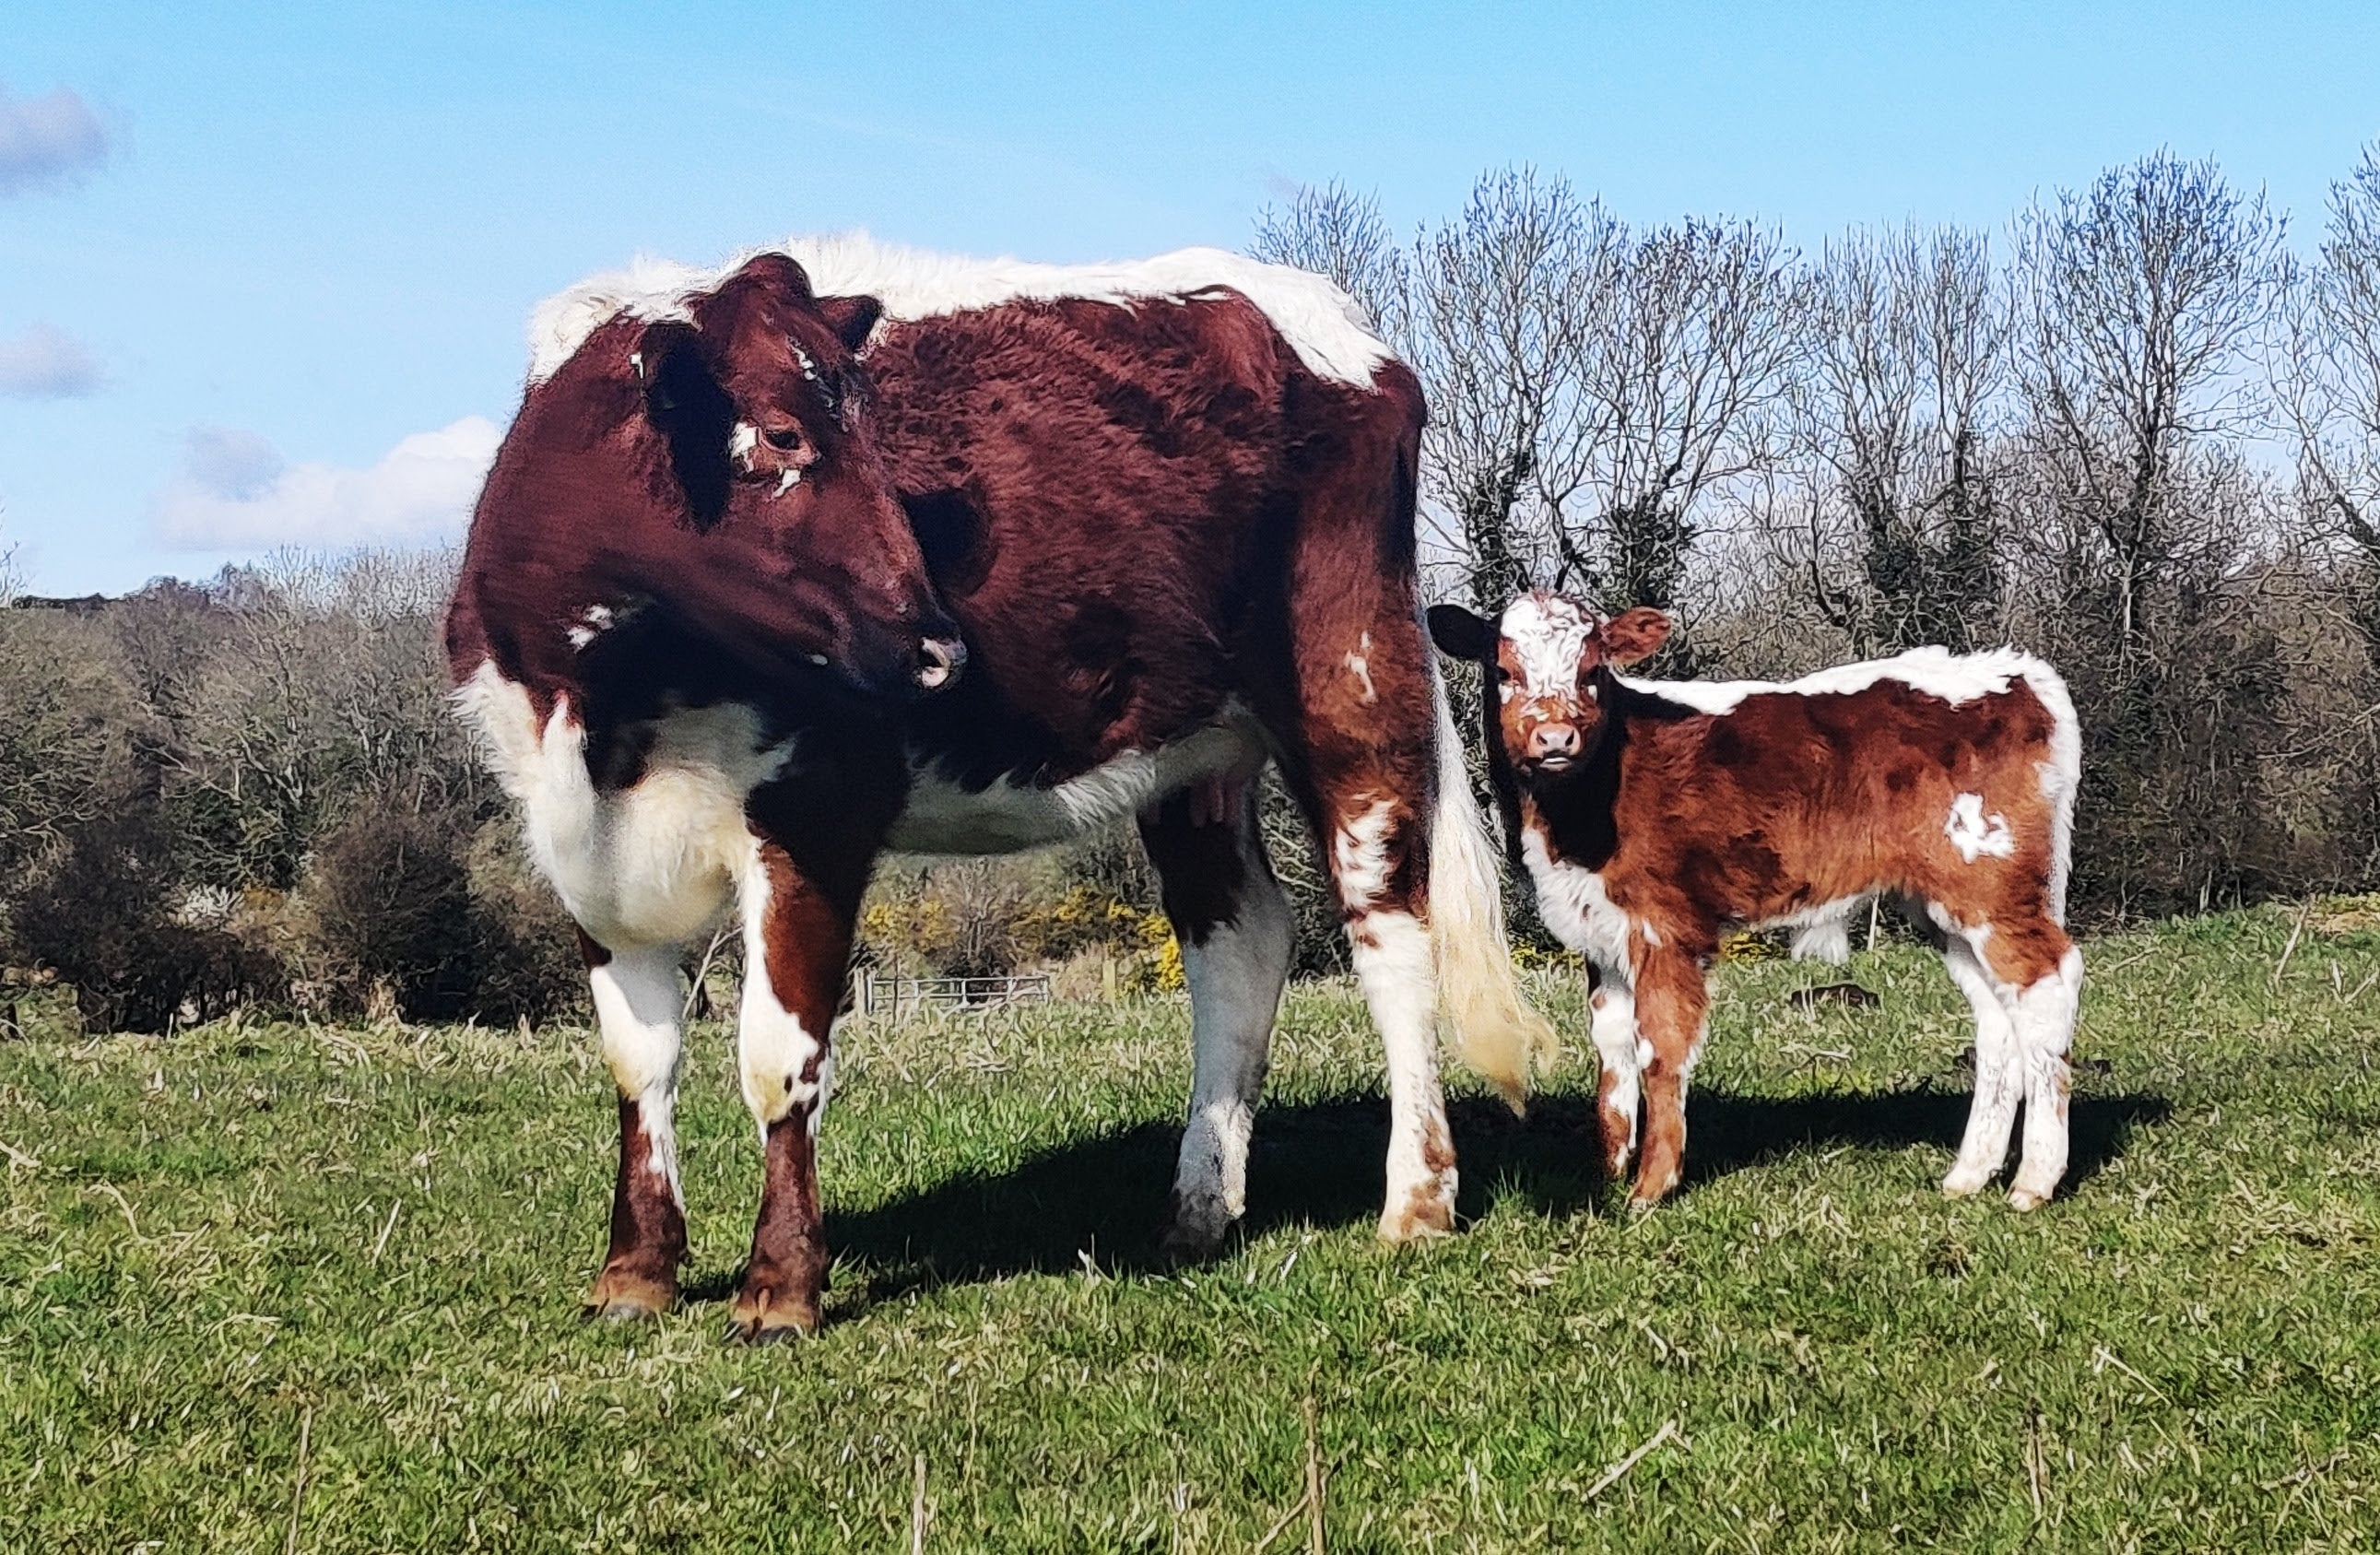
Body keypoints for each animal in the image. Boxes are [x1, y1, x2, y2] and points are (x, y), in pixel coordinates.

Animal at [445, 236, 1554, 1341]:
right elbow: (637, 1061)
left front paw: (779, 1287)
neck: (605, 710)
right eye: (783, 434)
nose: (937, 647)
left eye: (875, 433)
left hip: (1350, 676)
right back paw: (1197, 1210)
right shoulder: (577, 842)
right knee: (1237, 939)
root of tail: (1328, 320)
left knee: (1390, 930)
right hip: (1198, 747)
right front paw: (633, 1275)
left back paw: (1415, 1200)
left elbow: (779, 1058)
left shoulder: (818, 811)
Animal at [1427, 592, 2084, 1212]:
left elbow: (1659, 1047)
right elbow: (1611, 1051)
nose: (1555, 737)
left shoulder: (1664, 924)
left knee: (2048, 982)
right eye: (1503, 670)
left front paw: (1651, 1187)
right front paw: (1609, 1171)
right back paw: (1970, 1175)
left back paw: (2034, 1179)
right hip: (1948, 906)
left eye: (1592, 671)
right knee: (1996, 1015)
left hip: (1994, 883)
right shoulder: (1598, 927)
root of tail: (2019, 674)